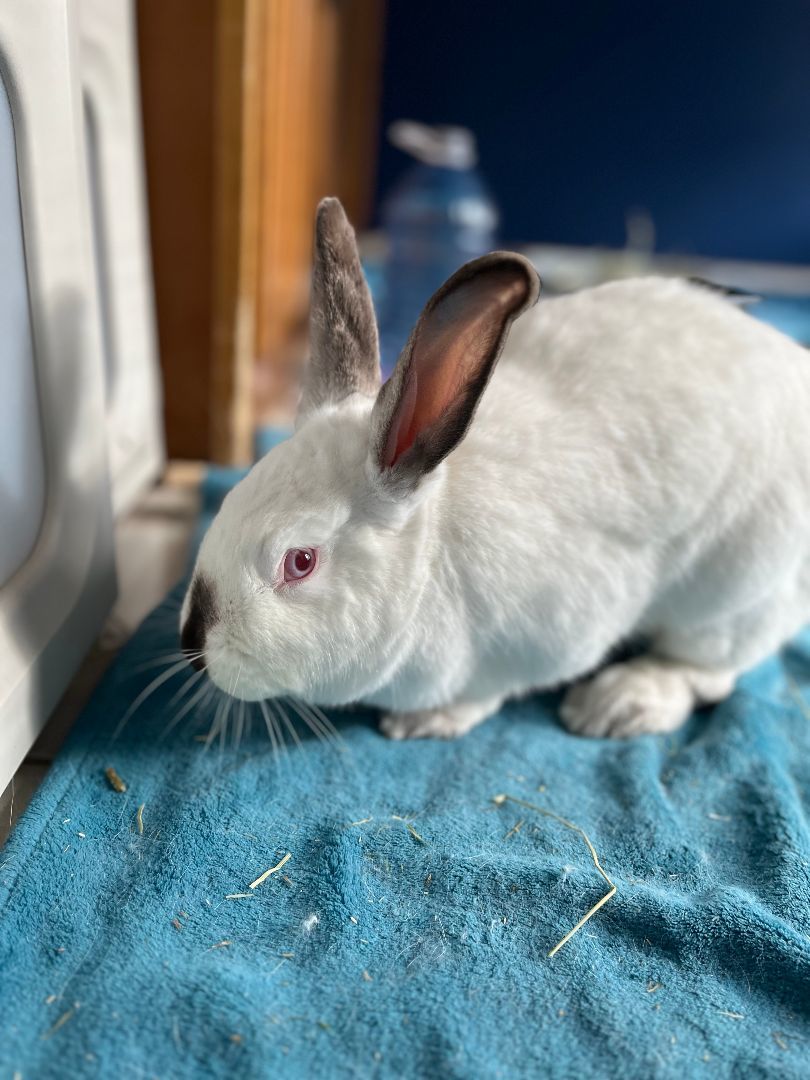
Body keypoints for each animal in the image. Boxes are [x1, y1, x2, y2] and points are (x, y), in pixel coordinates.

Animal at [180, 196, 810, 740]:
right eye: (232, 496)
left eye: (301, 561)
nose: (192, 645)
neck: (430, 557)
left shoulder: (558, 626)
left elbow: (492, 689)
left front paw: (428, 721)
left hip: (734, 592)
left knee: (709, 667)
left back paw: (616, 702)